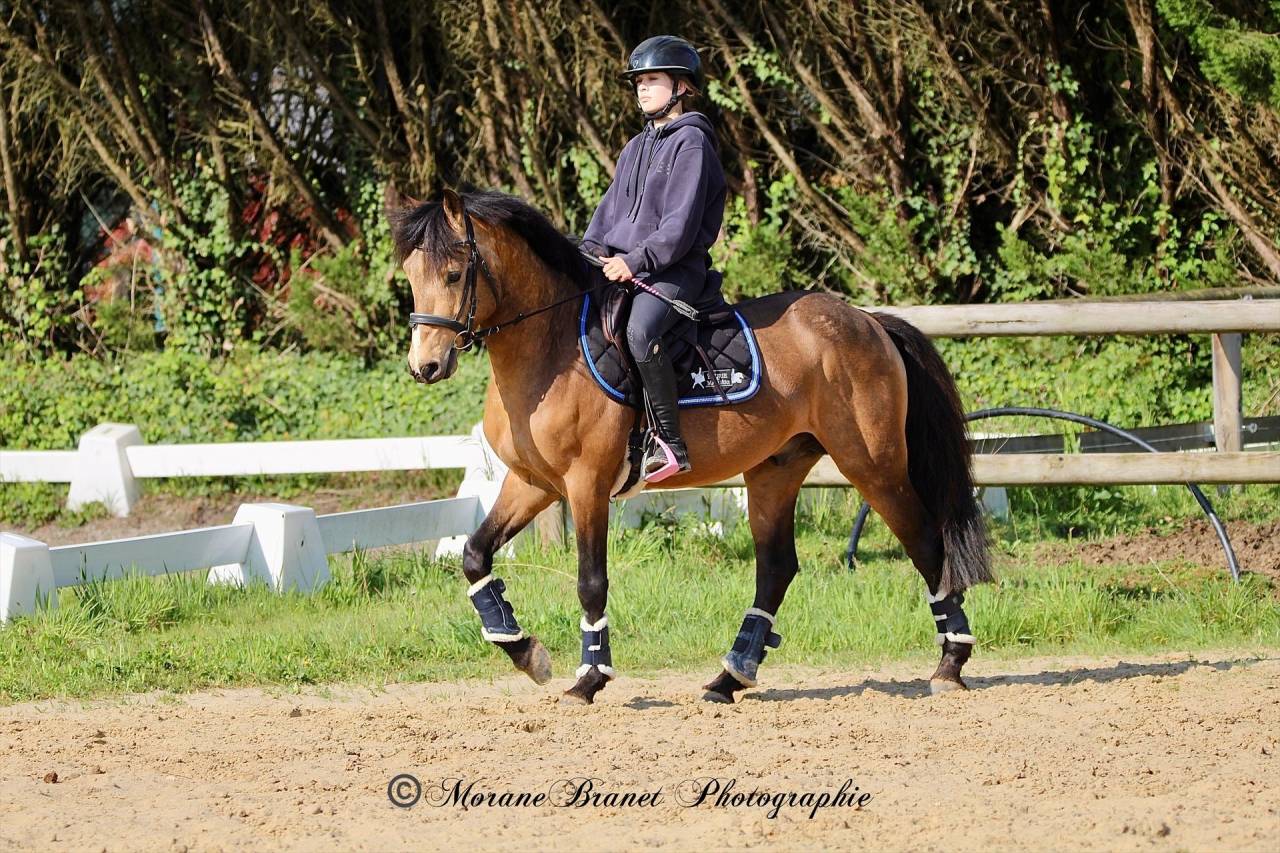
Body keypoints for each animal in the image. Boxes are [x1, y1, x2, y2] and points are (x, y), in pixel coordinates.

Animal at [392, 189, 991, 705]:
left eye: (453, 273)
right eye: (411, 277)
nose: (425, 367)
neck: (553, 347)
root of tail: (868, 321)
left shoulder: (587, 485)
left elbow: (590, 583)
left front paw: (589, 678)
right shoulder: (534, 483)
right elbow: (474, 554)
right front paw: (526, 653)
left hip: (874, 466)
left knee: (926, 544)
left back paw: (950, 665)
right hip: (776, 470)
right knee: (776, 569)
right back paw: (730, 677)